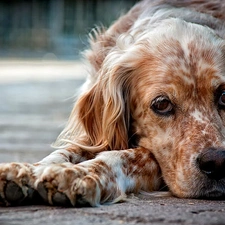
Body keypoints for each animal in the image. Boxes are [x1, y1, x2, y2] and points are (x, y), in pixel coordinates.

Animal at [1, 0, 225, 207]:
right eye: (161, 104)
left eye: (224, 95)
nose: (217, 162)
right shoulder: (97, 134)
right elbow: (66, 151)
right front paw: (28, 170)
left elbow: (133, 156)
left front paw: (81, 173)